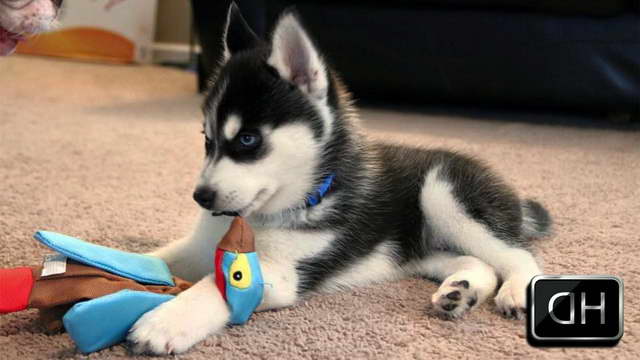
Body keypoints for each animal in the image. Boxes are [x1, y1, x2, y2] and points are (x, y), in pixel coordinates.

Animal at [127, 4, 552, 354]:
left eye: (248, 139)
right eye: (207, 139)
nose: (201, 197)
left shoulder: (284, 271)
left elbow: (216, 286)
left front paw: (165, 321)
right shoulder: (199, 247)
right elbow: (157, 258)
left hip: (444, 194)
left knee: (516, 255)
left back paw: (516, 290)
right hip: (413, 250)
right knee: (479, 263)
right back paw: (460, 292)